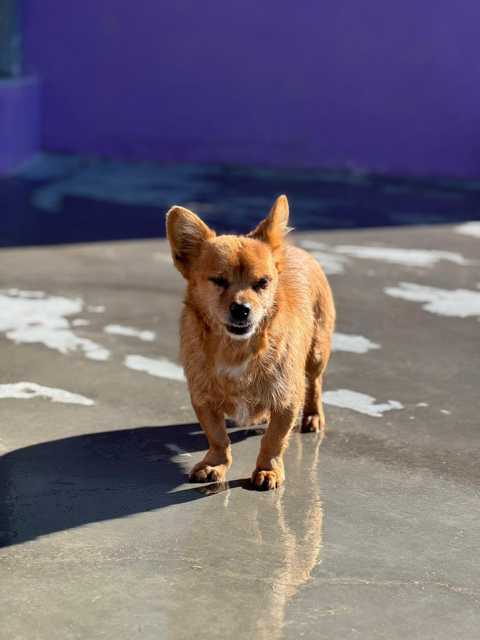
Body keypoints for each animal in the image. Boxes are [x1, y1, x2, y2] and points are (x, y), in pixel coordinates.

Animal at [166, 195, 335, 490]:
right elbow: (218, 436)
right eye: (218, 281)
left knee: (314, 383)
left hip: (317, 352)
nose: (241, 309)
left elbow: (274, 440)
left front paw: (268, 469)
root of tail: (291, 250)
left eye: (263, 283)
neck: (236, 348)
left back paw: (313, 415)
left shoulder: (287, 400)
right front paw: (215, 464)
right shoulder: (203, 399)